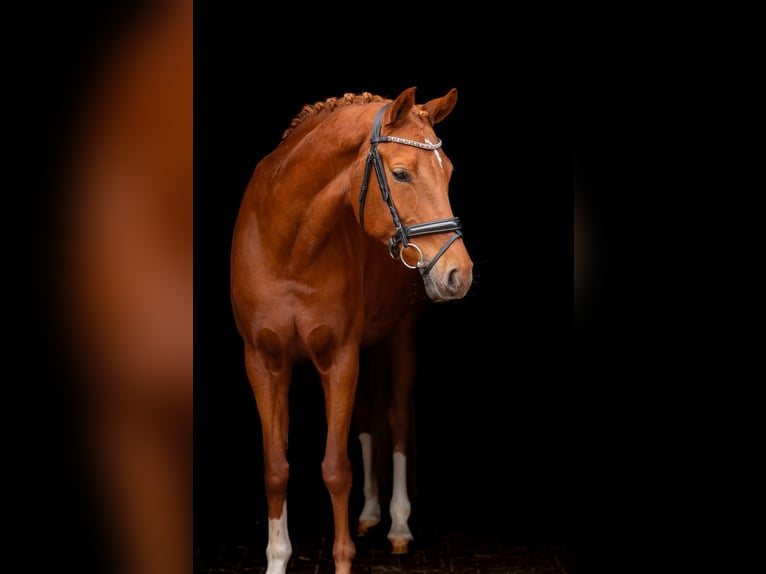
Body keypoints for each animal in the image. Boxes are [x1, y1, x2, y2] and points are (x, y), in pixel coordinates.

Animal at [230, 86, 473, 574]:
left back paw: (397, 526)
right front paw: (276, 559)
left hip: (399, 337)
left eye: (450, 173)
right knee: (367, 420)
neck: (287, 247)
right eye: (401, 174)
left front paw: (343, 560)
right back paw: (371, 513)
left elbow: (335, 469)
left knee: (397, 420)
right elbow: (276, 467)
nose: (460, 273)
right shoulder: (263, 362)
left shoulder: (340, 359)